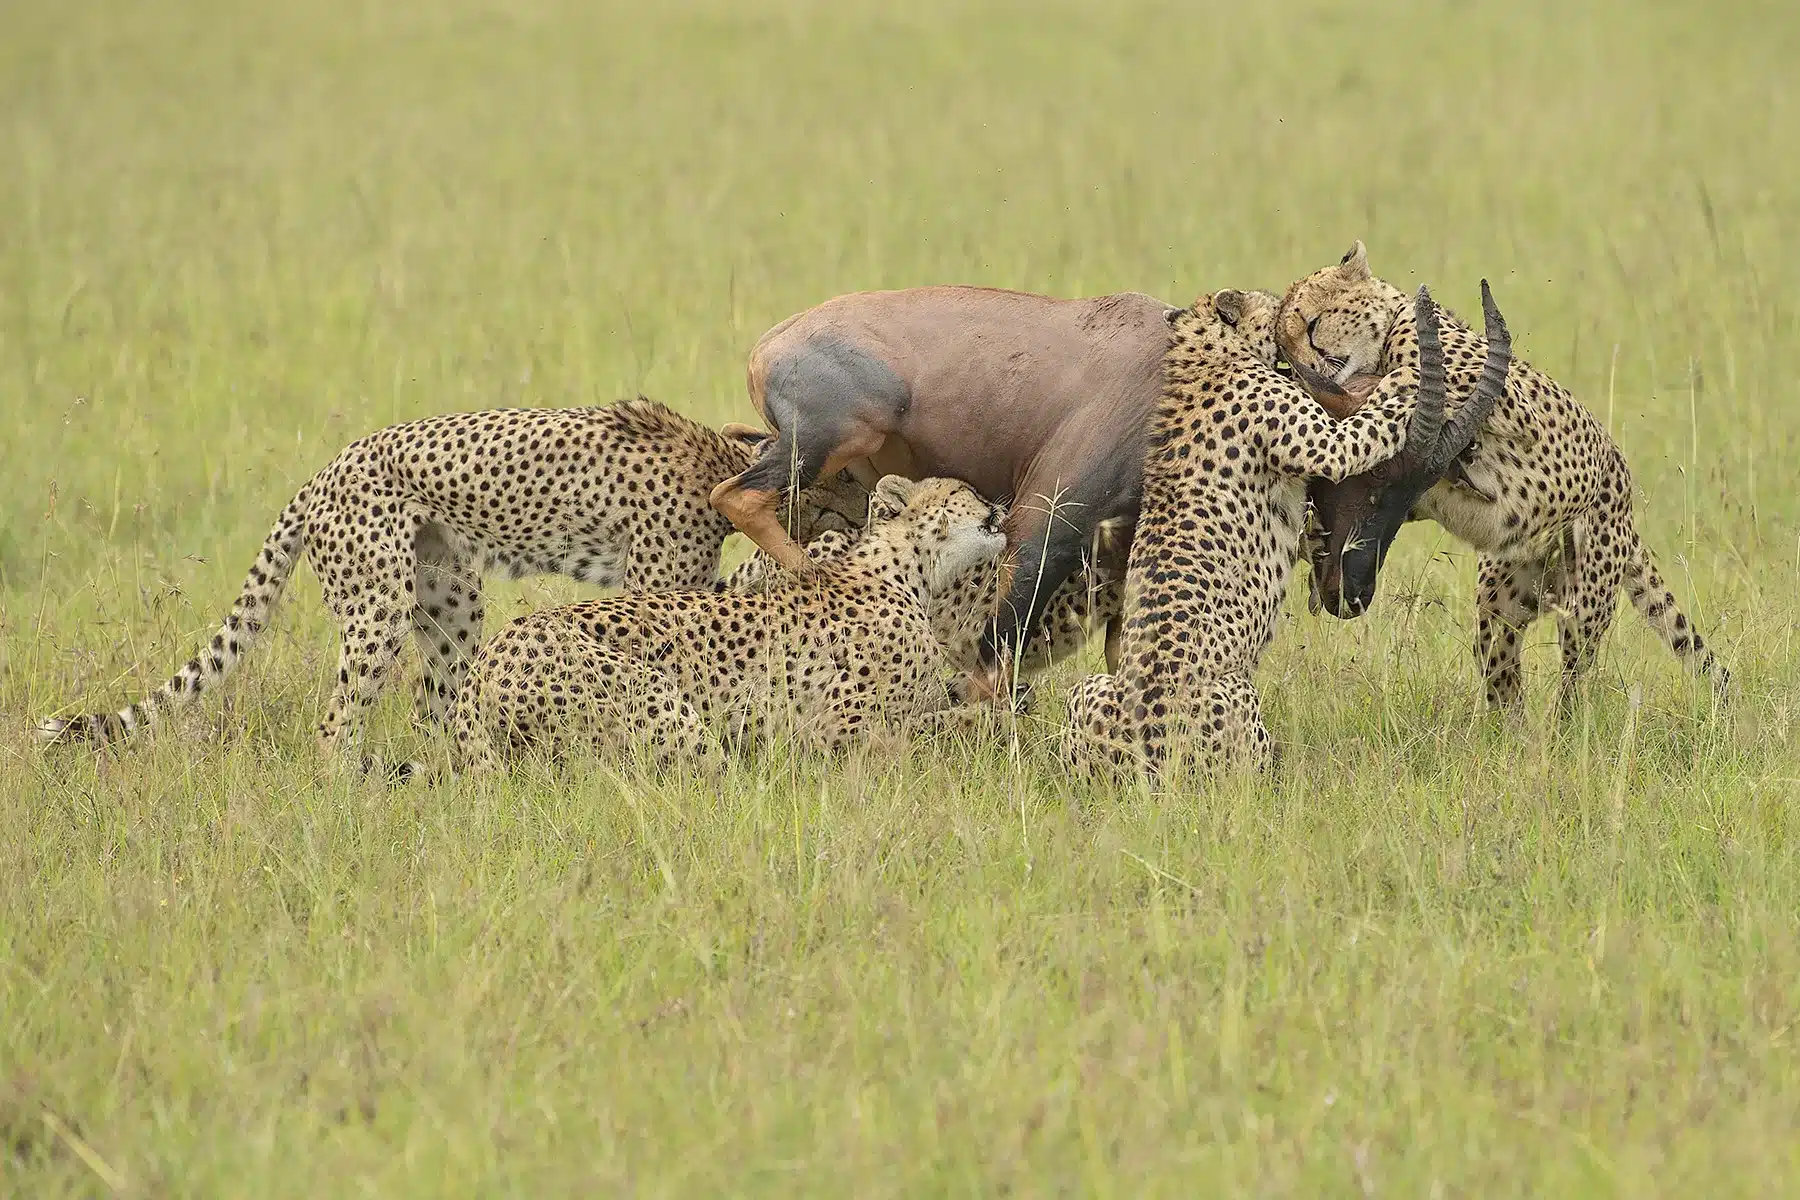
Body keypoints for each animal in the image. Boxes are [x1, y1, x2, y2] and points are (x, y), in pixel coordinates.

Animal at [33, 402, 864, 759]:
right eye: (843, 485)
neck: (725, 463)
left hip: (452, 603)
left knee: (434, 709)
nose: (859, 513)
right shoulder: (655, 588)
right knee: (338, 721)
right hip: (378, 606)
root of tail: (323, 473)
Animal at [448, 474, 1008, 773]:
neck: (907, 570)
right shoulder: (833, 731)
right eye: (966, 490)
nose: (998, 504)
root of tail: (481, 668)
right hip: (665, 707)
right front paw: (993, 720)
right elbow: (933, 727)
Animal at [1058, 287, 1512, 784]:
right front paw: (1402, 382)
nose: (1351, 595)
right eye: (1376, 476)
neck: (1202, 363)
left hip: (1089, 690)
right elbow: (1361, 428)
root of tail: (1143, 752)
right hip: (1237, 695)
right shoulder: (1324, 443)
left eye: (1417, 496)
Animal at [1281, 244, 1728, 712]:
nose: (1350, 596)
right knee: (1507, 693)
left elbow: (1413, 379)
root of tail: (1625, 507)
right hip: (1501, 611)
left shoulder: (1508, 403)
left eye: (1312, 322)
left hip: (1583, 610)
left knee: (1570, 694)